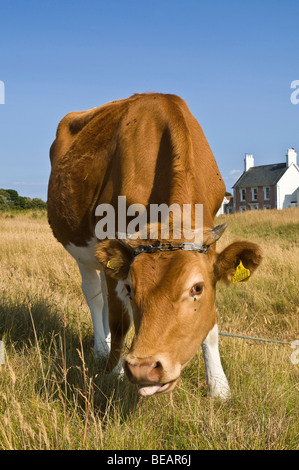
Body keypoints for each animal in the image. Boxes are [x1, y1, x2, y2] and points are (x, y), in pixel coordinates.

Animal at [47, 93, 262, 398]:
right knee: (94, 293)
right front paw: (114, 372)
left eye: (197, 288)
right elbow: (120, 319)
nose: (143, 368)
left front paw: (219, 387)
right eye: (132, 288)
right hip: (80, 249)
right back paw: (101, 348)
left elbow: (210, 326)